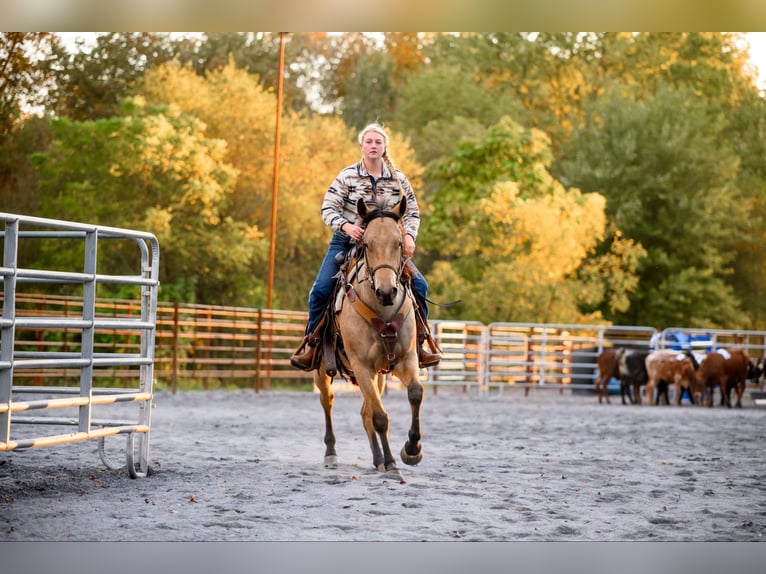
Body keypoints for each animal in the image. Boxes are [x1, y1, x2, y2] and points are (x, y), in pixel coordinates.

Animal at [312, 198, 426, 476]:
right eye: (366, 244)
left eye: (399, 243)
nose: (386, 291)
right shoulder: (362, 366)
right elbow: (380, 417)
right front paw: (394, 463)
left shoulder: (406, 358)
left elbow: (415, 393)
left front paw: (412, 450)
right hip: (323, 370)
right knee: (328, 401)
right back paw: (331, 453)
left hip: (379, 375)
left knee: (366, 412)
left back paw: (378, 459)